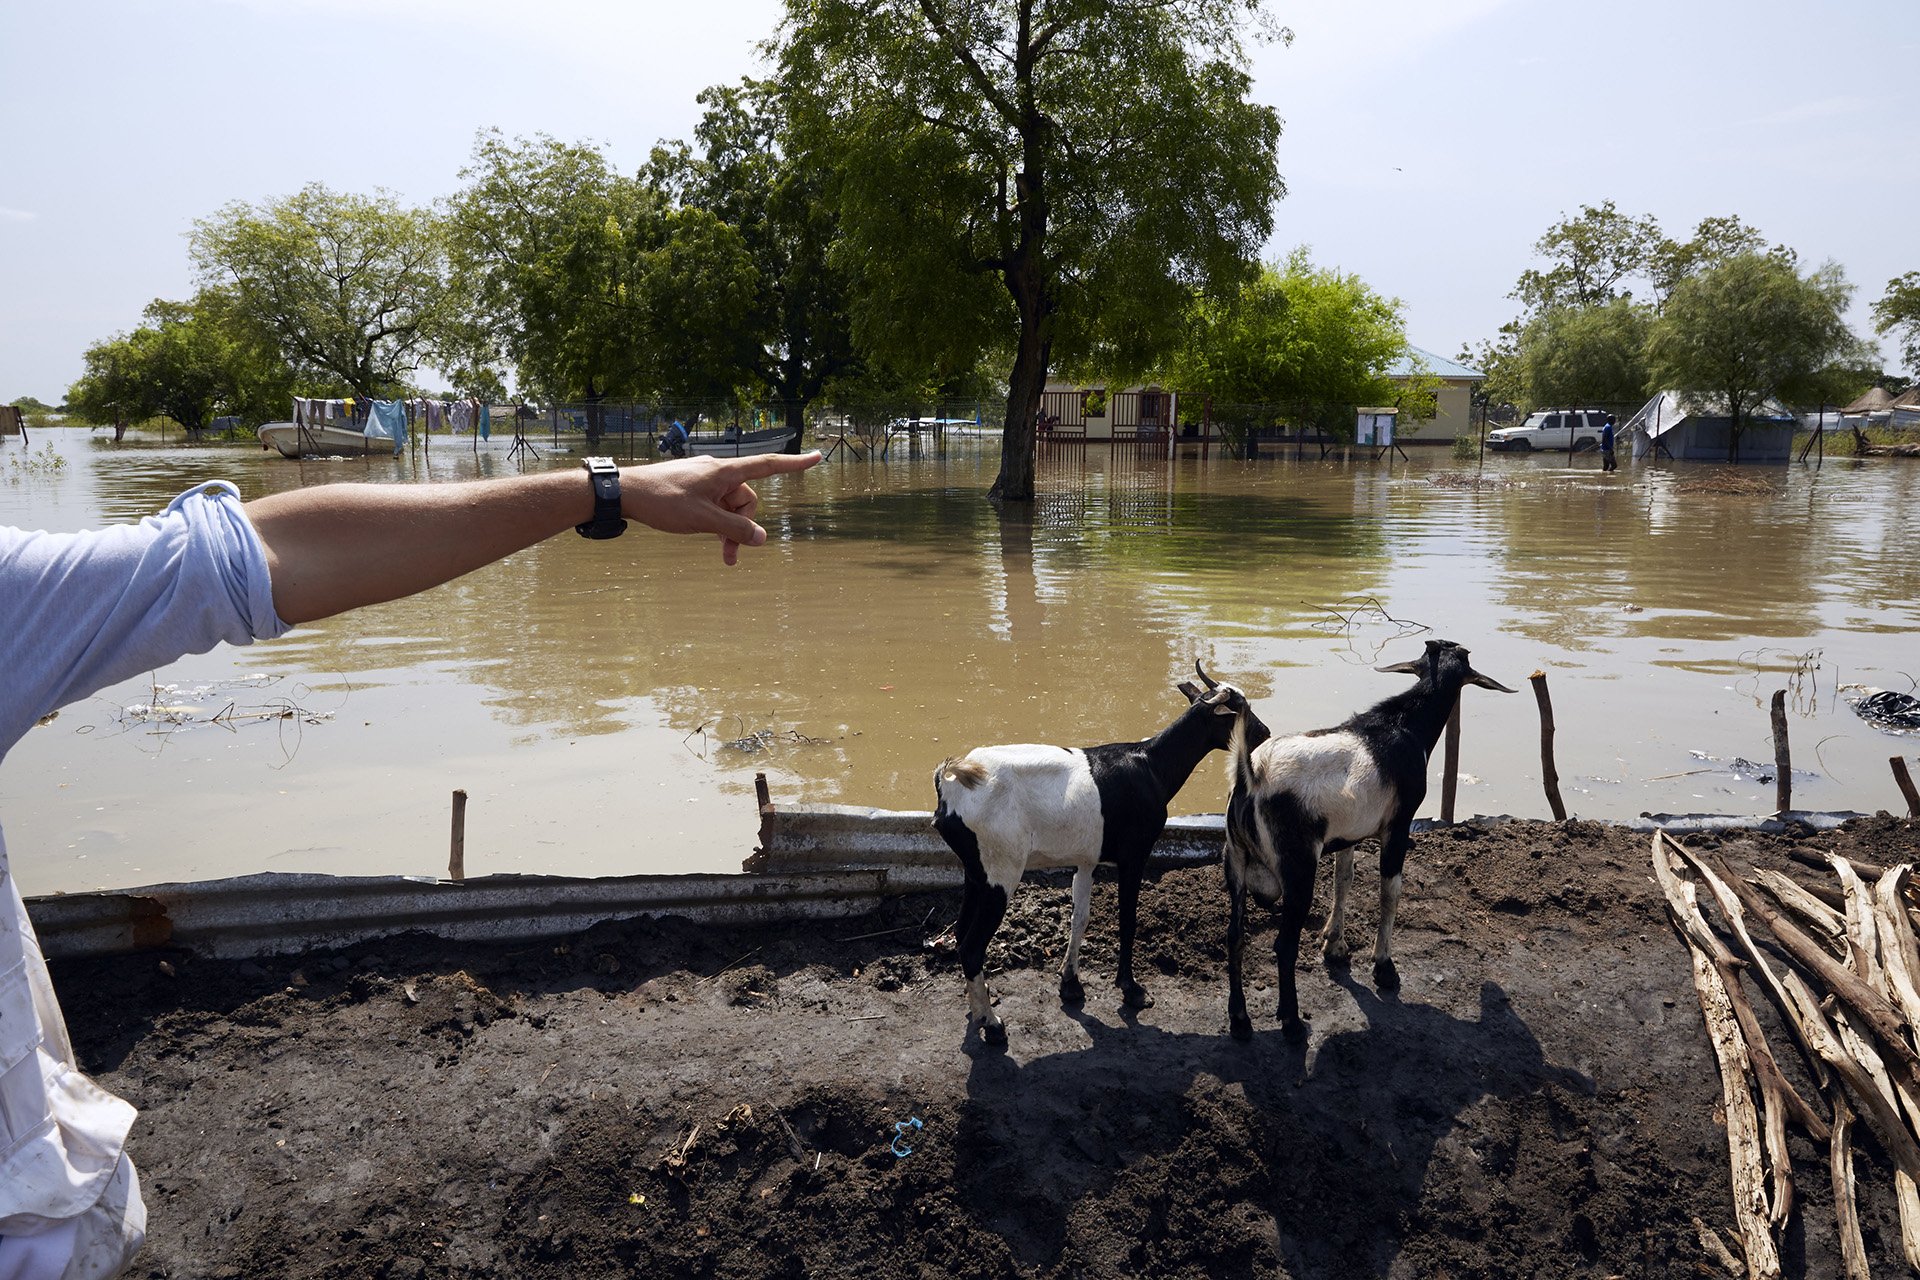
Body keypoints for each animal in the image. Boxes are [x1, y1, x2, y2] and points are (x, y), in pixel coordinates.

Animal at [933, 667, 1267, 1043]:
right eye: (1240, 710)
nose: (1265, 733)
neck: (1151, 765)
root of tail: (952, 783)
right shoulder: (1134, 855)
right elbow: (1127, 919)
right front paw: (1132, 989)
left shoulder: (1087, 859)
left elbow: (1080, 917)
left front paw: (1070, 984)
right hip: (1001, 872)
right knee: (972, 946)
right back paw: (993, 1026)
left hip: (977, 872)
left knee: (960, 933)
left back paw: (978, 1008)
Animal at [1221, 640, 1505, 1043]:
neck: (1403, 727)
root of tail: (1250, 776)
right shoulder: (1398, 825)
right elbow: (1390, 891)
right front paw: (1384, 966)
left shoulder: (1347, 835)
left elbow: (1344, 880)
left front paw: (1334, 945)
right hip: (1297, 866)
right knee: (1283, 945)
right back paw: (1291, 1024)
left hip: (1235, 859)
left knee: (1234, 936)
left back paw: (1240, 1021)